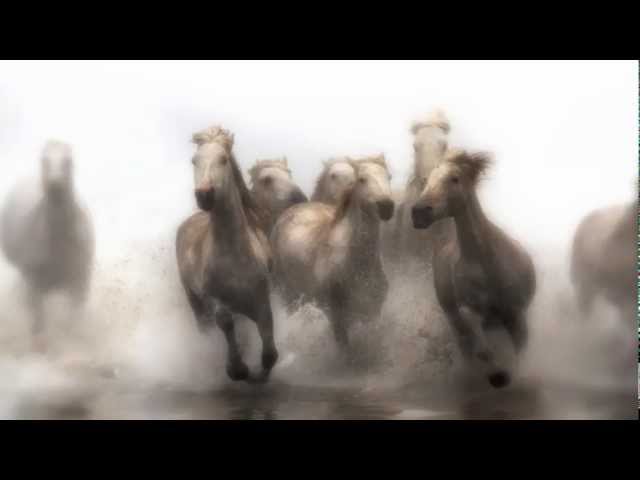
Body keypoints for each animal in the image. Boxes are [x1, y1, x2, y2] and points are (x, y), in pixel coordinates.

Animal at [0, 140, 95, 350]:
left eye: (69, 161)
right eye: (43, 160)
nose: (55, 185)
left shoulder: (80, 281)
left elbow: (74, 324)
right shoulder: (33, 283)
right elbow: (38, 326)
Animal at [175, 126, 278, 382]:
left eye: (223, 159)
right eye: (194, 160)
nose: (204, 195)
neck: (235, 255)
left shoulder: (262, 298)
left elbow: (269, 348)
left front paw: (260, 373)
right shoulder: (214, 299)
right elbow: (225, 321)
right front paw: (238, 369)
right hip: (193, 300)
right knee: (206, 326)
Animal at [271, 154, 395, 351]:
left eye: (389, 177)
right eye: (362, 179)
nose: (386, 206)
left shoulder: (373, 313)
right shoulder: (338, 319)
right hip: (289, 295)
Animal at [411, 149, 536, 389]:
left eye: (454, 178)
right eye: (426, 180)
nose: (420, 213)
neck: (489, 266)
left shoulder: (515, 312)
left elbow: (521, 347)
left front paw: (515, 376)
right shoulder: (470, 311)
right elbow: (483, 350)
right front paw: (497, 376)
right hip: (456, 321)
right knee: (467, 348)